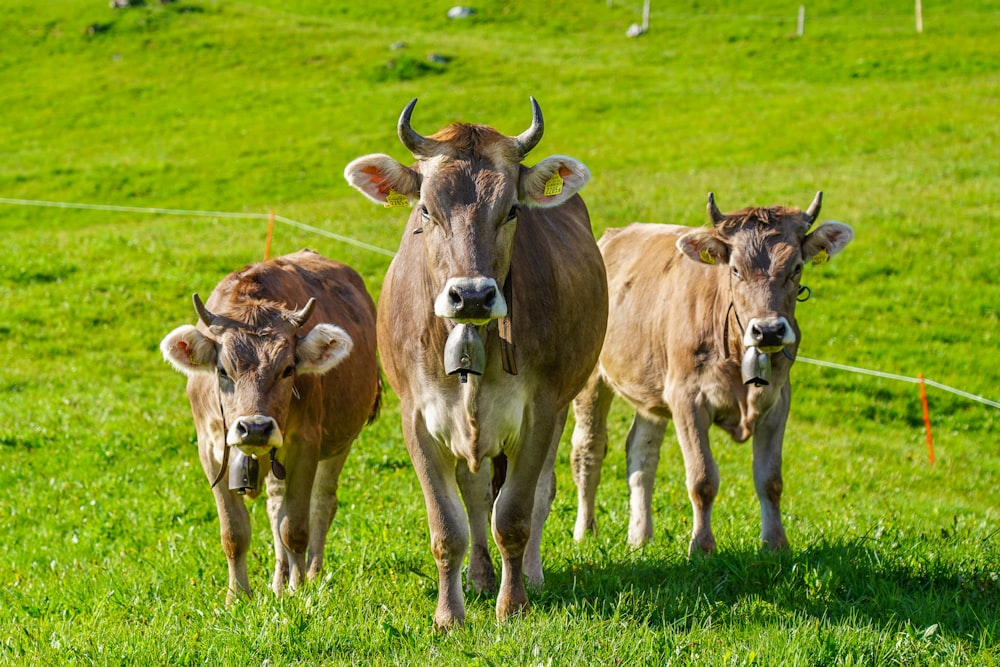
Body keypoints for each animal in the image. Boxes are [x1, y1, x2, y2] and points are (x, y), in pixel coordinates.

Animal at [158, 248, 380, 604]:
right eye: (222, 370)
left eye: (288, 369)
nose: (255, 428)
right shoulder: (210, 450)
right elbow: (235, 531)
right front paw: (237, 596)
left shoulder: (305, 444)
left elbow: (295, 527)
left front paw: (298, 590)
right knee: (275, 506)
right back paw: (278, 581)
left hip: (340, 442)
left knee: (322, 502)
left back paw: (310, 574)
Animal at [344, 98, 608, 628]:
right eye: (425, 209)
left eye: (511, 210)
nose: (471, 295)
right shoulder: (416, 417)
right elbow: (449, 526)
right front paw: (450, 614)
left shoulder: (540, 411)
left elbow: (516, 514)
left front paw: (514, 605)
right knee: (476, 492)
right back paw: (482, 577)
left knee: (538, 492)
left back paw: (528, 576)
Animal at [572, 196, 852, 556]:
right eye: (735, 269)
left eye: (796, 268)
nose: (769, 330)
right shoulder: (687, 399)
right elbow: (702, 479)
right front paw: (702, 547)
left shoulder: (778, 401)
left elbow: (770, 480)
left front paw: (775, 543)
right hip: (591, 379)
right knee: (588, 450)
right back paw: (585, 531)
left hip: (650, 391)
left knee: (642, 455)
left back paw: (640, 537)